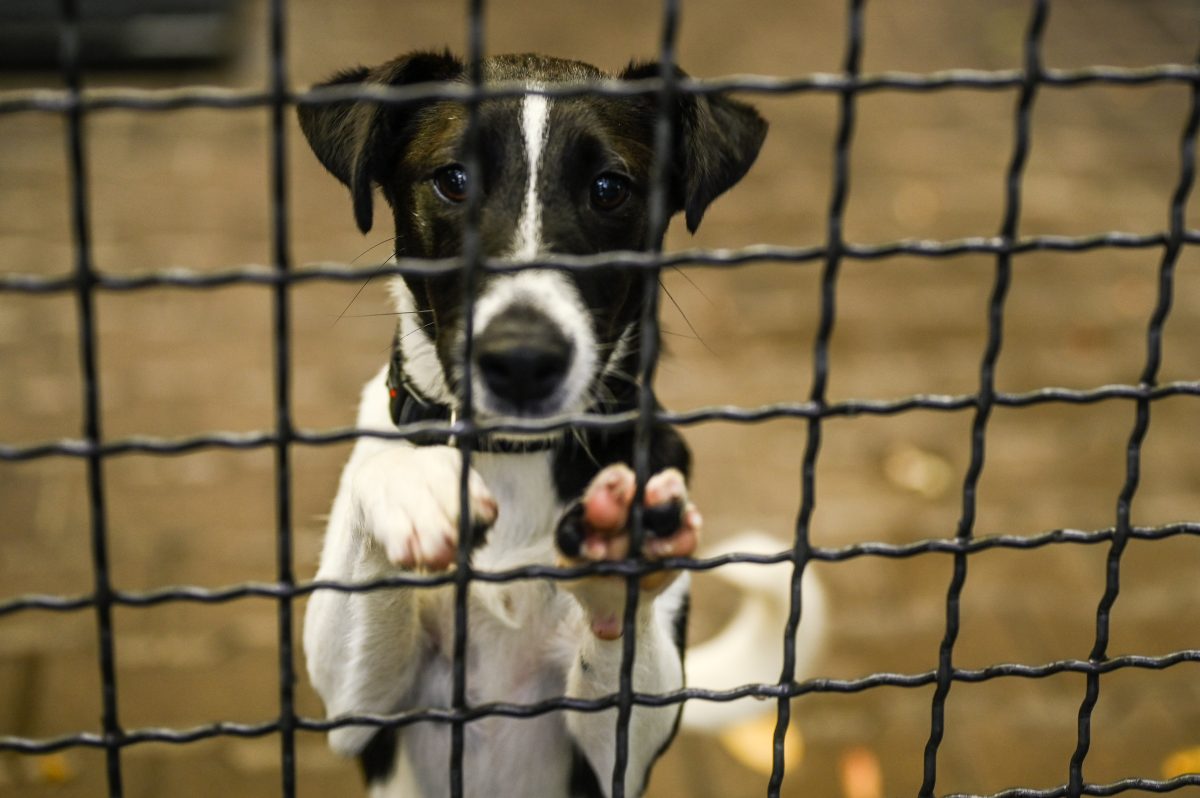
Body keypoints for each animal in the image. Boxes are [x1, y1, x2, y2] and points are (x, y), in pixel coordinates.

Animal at [300, 51, 768, 796]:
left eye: (610, 189)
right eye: (453, 180)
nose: (522, 358)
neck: (514, 453)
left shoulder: (624, 754)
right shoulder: (357, 710)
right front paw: (411, 480)